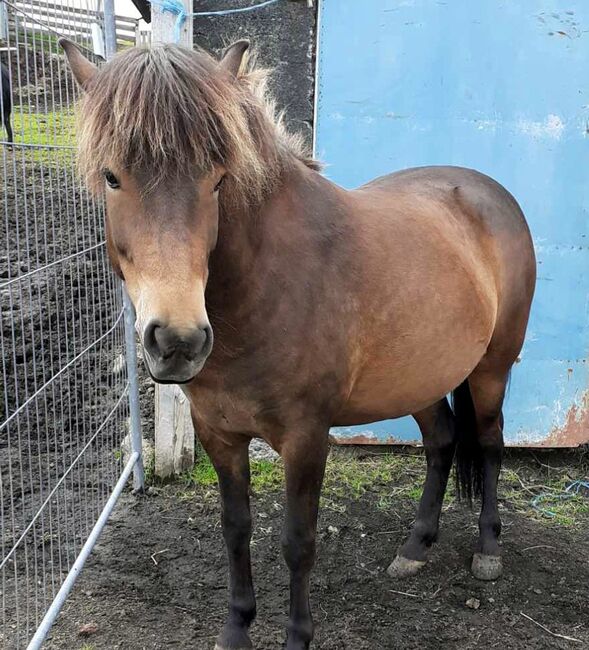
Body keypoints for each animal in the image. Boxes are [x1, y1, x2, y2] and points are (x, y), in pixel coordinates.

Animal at [60, 40, 536, 648]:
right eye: (112, 176)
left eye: (218, 179)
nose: (178, 340)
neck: (265, 287)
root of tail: (489, 193)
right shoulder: (218, 433)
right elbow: (236, 529)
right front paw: (236, 628)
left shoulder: (307, 437)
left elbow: (297, 541)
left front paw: (296, 636)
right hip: (422, 377)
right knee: (441, 442)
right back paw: (415, 547)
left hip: (492, 368)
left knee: (491, 443)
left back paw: (488, 549)